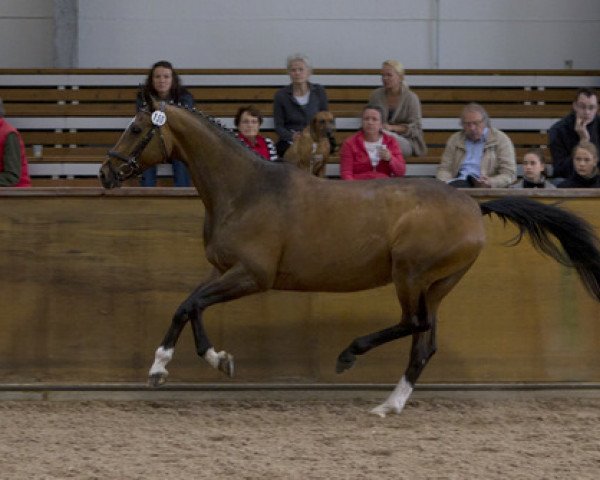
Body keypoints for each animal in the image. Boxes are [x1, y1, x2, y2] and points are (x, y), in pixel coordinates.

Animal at [98, 101, 600, 416]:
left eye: (137, 129)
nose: (105, 173)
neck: (244, 191)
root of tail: (474, 207)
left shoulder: (252, 276)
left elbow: (187, 304)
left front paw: (160, 368)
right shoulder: (224, 270)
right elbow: (192, 306)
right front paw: (217, 359)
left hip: (409, 274)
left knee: (413, 324)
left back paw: (349, 356)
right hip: (438, 285)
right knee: (425, 343)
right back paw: (390, 405)